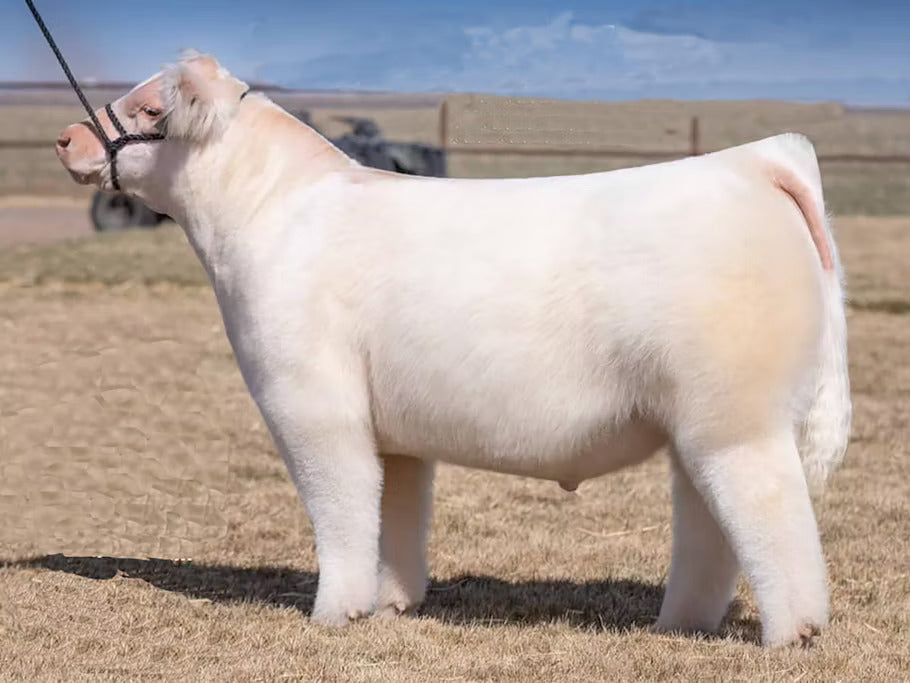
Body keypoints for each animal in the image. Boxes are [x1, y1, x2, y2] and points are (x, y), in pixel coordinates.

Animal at [55, 51, 851, 647]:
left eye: (149, 110)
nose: (67, 138)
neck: (273, 211)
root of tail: (753, 163)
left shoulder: (310, 403)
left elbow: (341, 504)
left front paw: (334, 613)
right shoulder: (396, 433)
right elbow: (395, 514)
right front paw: (391, 602)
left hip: (737, 420)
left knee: (771, 513)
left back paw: (793, 633)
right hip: (698, 424)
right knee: (710, 528)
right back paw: (678, 624)